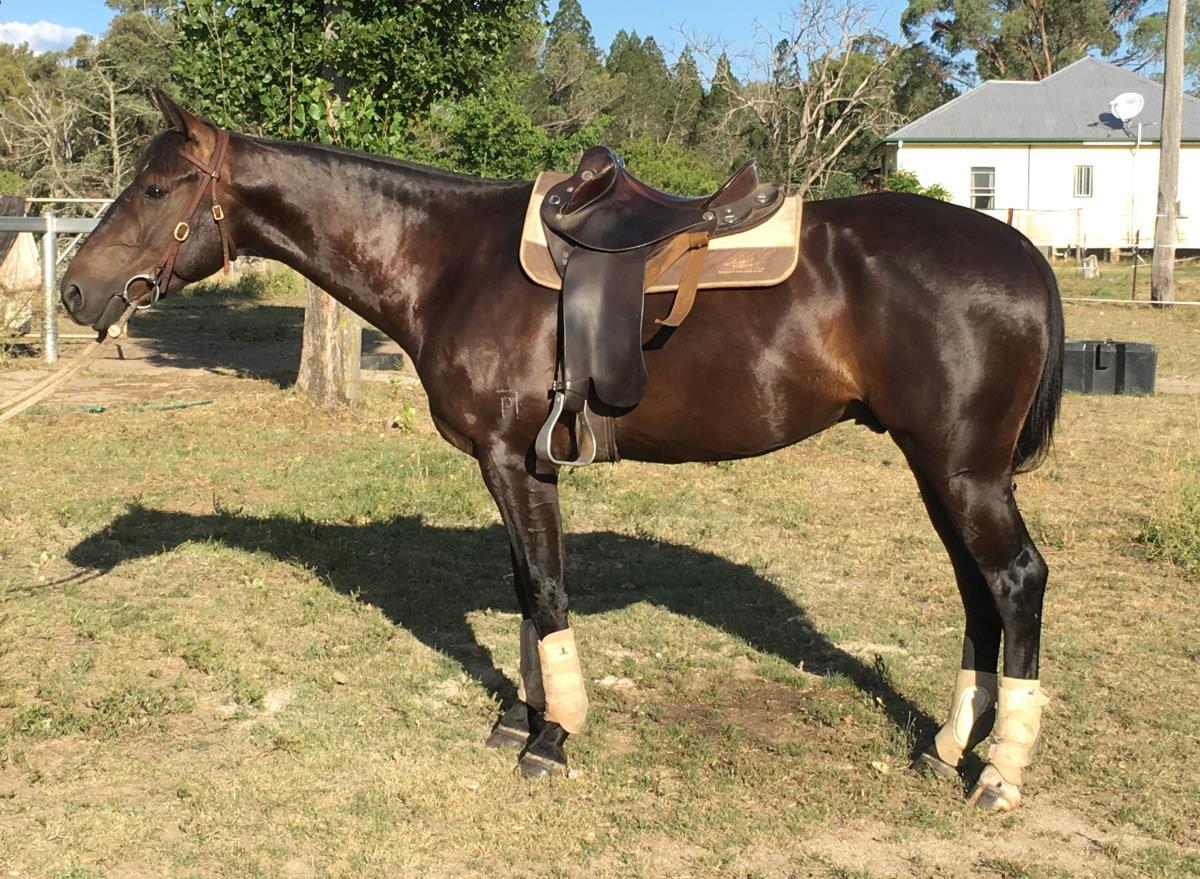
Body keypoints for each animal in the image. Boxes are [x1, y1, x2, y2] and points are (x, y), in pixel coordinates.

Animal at [61, 91, 1063, 812]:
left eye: (155, 190)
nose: (74, 290)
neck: (447, 258)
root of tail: (1023, 253)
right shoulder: (512, 464)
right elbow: (522, 588)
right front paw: (521, 714)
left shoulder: (515, 458)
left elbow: (544, 587)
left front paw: (555, 736)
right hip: (939, 469)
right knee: (976, 589)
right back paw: (948, 747)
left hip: (963, 472)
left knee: (1015, 580)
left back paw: (1001, 771)